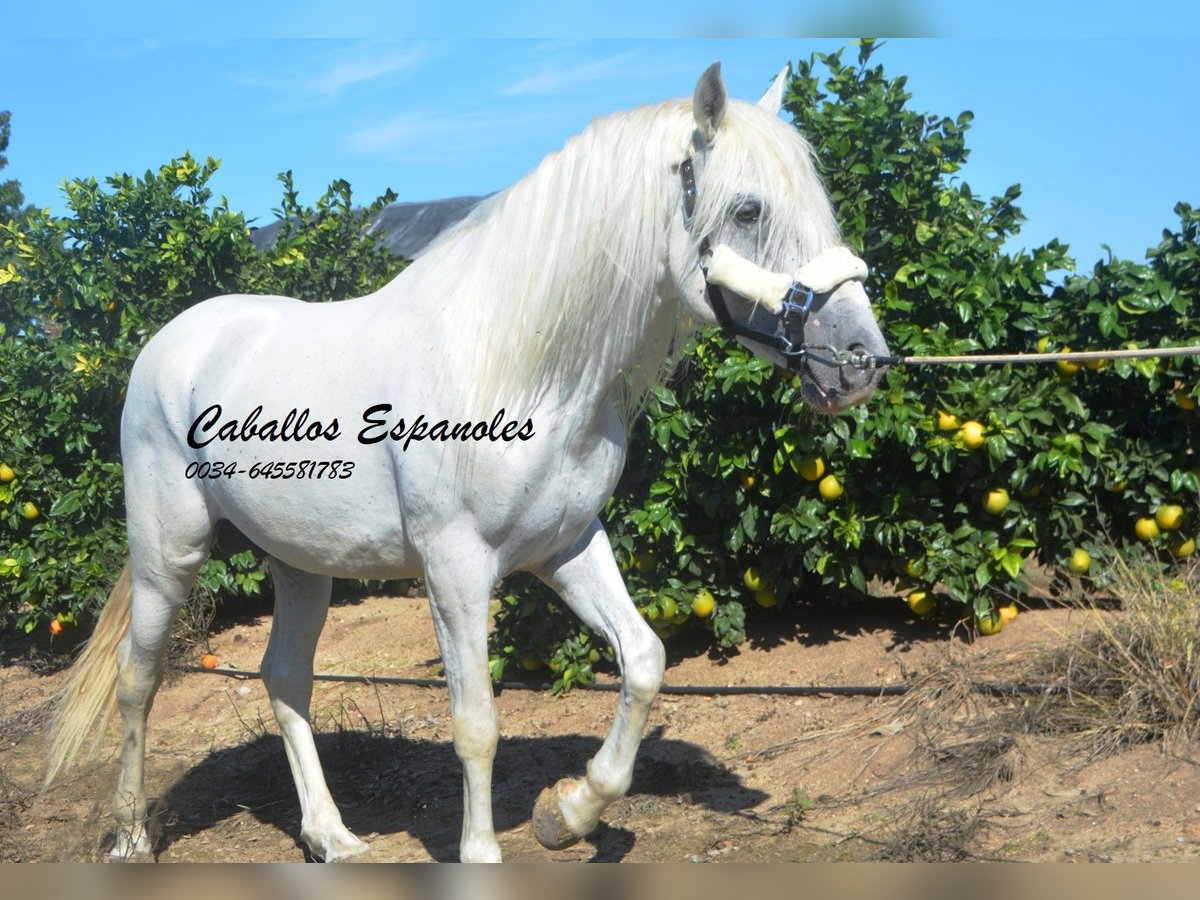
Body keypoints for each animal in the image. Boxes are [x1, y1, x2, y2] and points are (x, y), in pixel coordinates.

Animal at [44, 65, 892, 868]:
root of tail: (173, 341)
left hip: (302, 564)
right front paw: (484, 852)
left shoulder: (567, 546)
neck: (516, 366)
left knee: (284, 678)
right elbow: (477, 720)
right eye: (748, 210)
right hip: (170, 551)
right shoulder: (454, 567)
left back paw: (332, 838)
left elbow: (645, 660)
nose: (862, 360)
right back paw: (132, 837)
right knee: (137, 679)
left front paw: (571, 814)